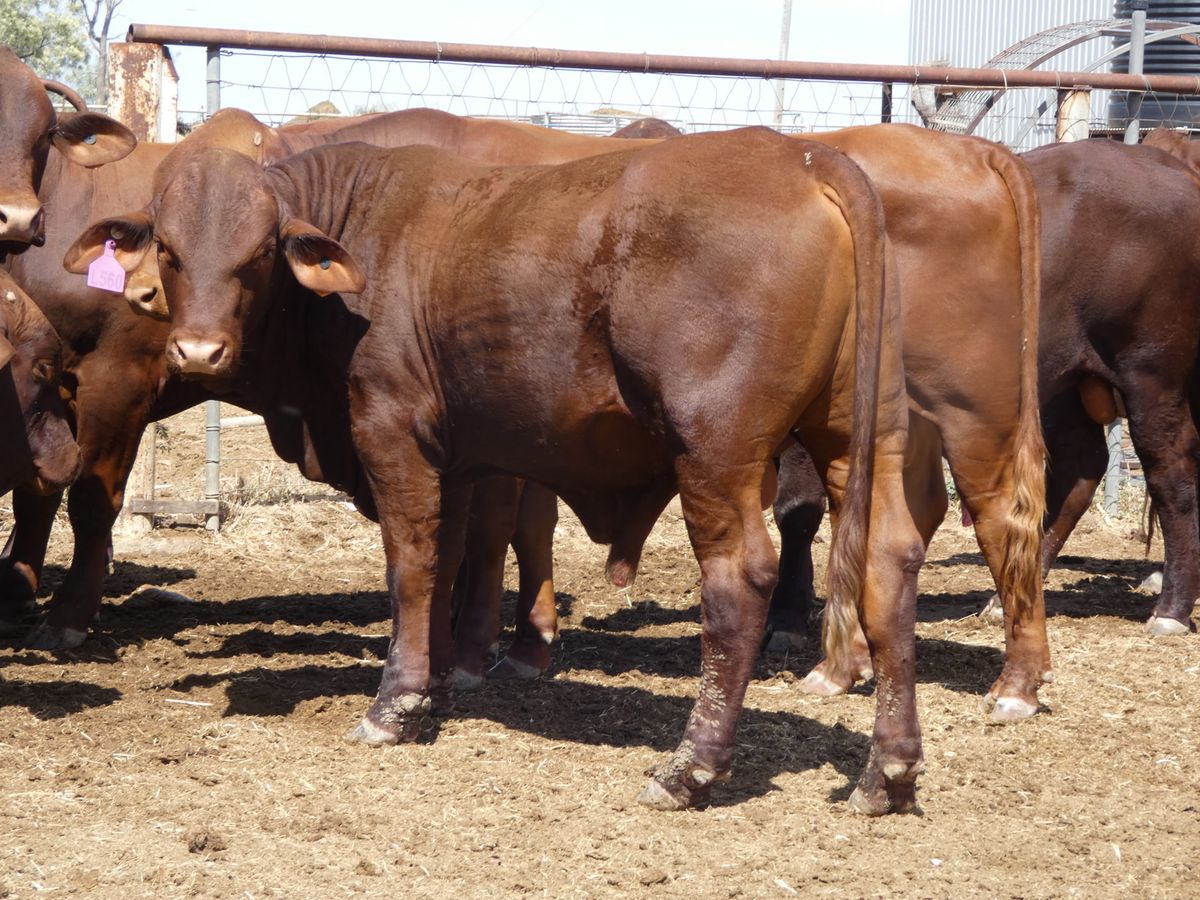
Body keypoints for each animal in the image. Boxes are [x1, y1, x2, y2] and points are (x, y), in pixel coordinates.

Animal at [65, 129, 928, 814]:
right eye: (170, 250)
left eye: (259, 255)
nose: (198, 350)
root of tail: (800, 155)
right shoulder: (459, 459)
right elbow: (449, 560)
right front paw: (437, 686)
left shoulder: (391, 433)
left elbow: (411, 567)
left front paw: (394, 706)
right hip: (857, 435)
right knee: (889, 560)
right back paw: (887, 772)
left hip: (715, 452)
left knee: (738, 581)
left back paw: (689, 769)